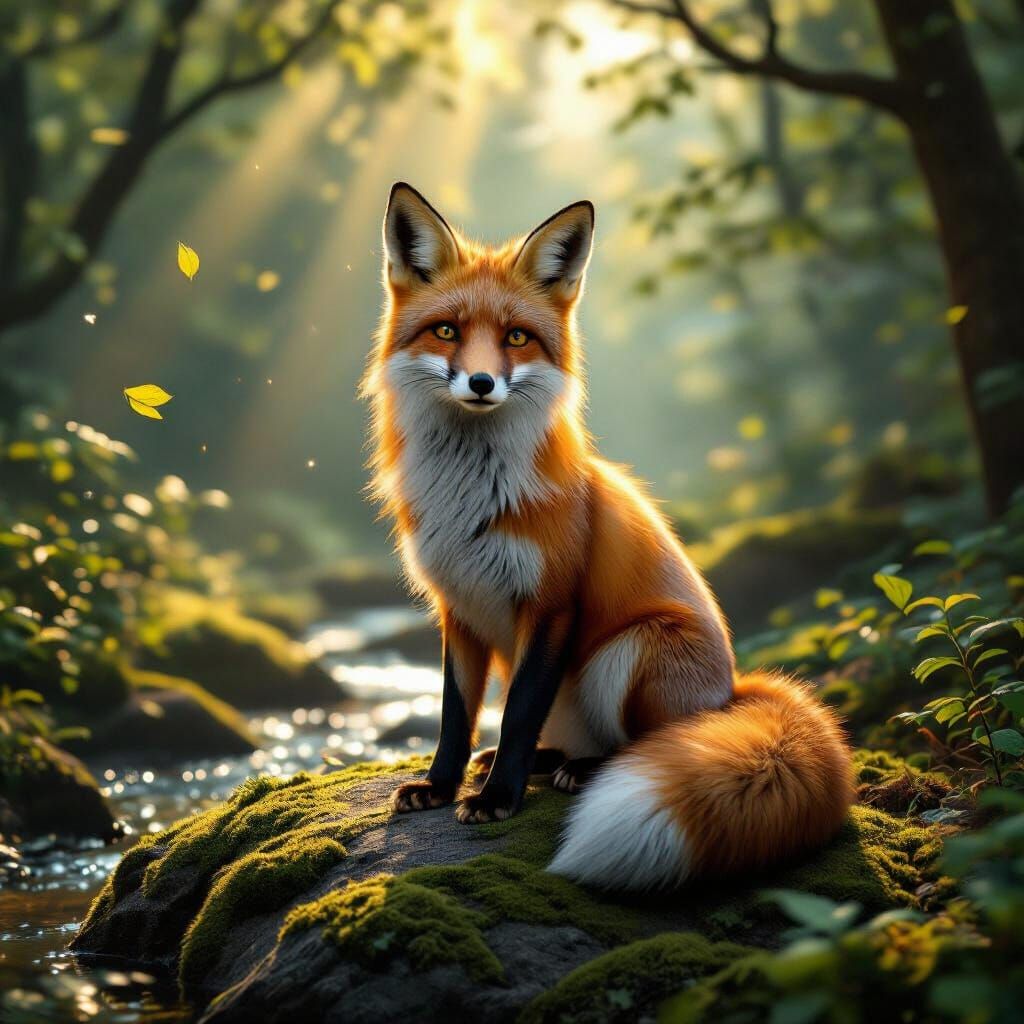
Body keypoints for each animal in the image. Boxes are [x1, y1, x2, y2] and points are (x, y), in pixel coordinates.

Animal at [362, 181, 854, 890]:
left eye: (516, 338)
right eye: (447, 330)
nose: (481, 383)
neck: (471, 500)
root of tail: (731, 693)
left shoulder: (552, 603)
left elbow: (517, 712)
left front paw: (497, 800)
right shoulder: (458, 606)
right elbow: (456, 715)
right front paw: (441, 785)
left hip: (629, 651)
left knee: (639, 748)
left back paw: (579, 772)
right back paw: (541, 763)